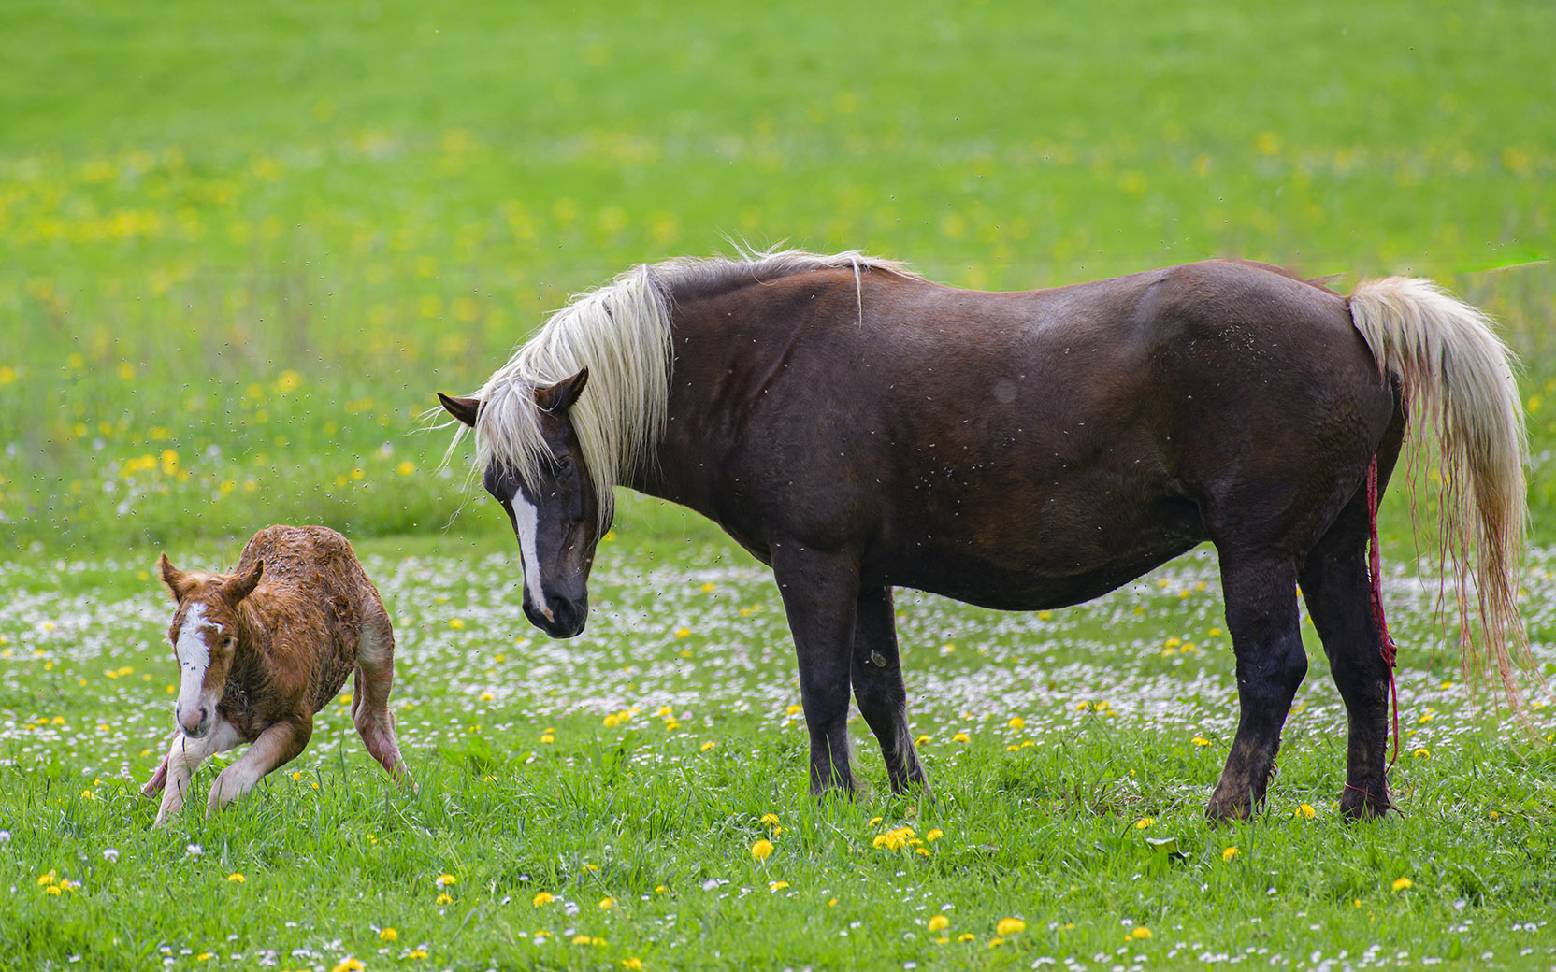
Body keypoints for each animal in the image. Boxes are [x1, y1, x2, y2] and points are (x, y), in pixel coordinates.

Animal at [142, 525, 407, 825]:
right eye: (173, 638)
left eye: (227, 640)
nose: (191, 717)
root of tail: (303, 528)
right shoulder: (231, 720)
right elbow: (184, 753)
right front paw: (165, 826)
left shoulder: (297, 725)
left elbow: (227, 783)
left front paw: (213, 826)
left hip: (377, 641)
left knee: (371, 718)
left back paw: (412, 793)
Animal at [436, 249, 1526, 820]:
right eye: (498, 489)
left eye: (556, 471)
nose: (548, 609)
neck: (766, 363)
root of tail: (1349, 311)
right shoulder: (864, 573)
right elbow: (879, 690)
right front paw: (905, 800)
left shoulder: (813, 563)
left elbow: (822, 690)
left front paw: (829, 804)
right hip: (1331, 548)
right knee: (1361, 670)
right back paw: (1361, 811)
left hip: (1259, 554)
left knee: (1274, 674)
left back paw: (1227, 809)